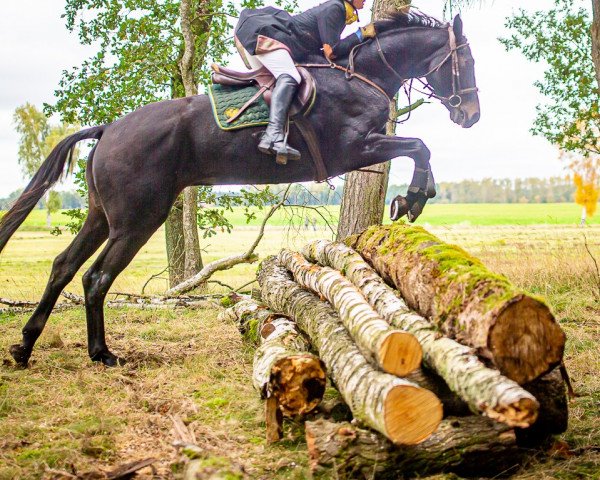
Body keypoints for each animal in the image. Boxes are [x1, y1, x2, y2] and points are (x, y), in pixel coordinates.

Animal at [0, 12, 478, 368]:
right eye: (468, 62)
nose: (471, 115)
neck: (361, 76)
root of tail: (108, 129)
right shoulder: (356, 147)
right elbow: (419, 146)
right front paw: (412, 199)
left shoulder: (364, 148)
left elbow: (420, 151)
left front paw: (412, 198)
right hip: (138, 219)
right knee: (96, 276)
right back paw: (101, 353)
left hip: (103, 216)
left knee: (64, 266)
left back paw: (25, 347)